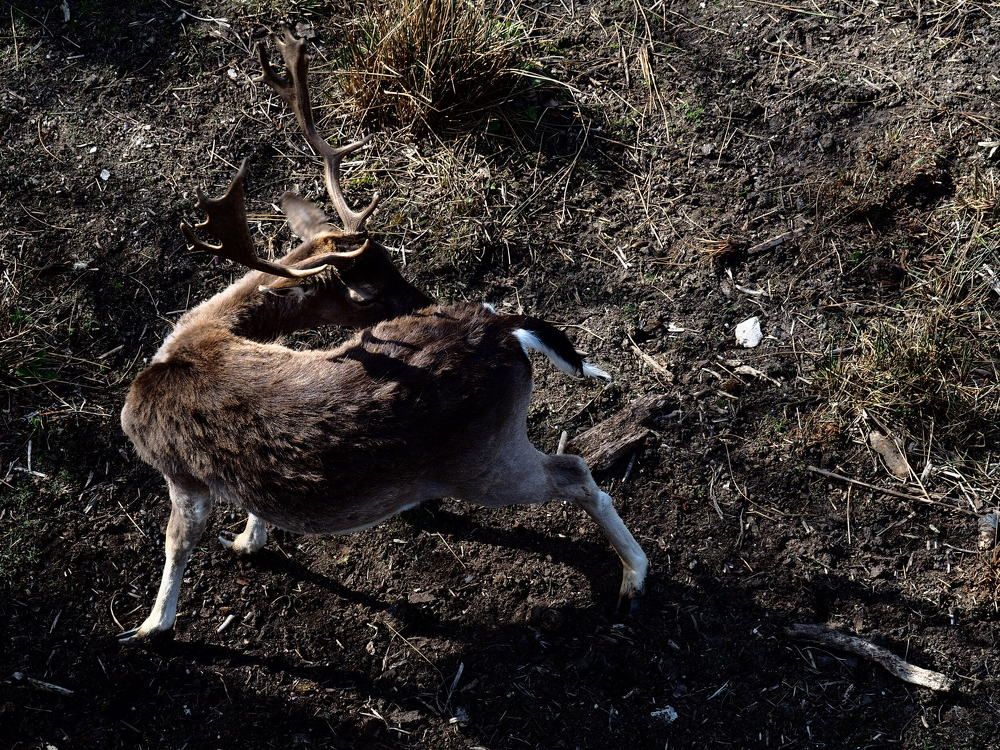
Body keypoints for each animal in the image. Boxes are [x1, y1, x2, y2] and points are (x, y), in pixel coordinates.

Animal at [118, 31, 648, 643]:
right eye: (373, 285)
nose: (424, 302)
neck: (193, 340)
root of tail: (503, 326)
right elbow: (253, 504)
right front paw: (249, 540)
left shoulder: (178, 470)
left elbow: (176, 541)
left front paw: (151, 626)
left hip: (485, 460)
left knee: (576, 472)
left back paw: (635, 578)